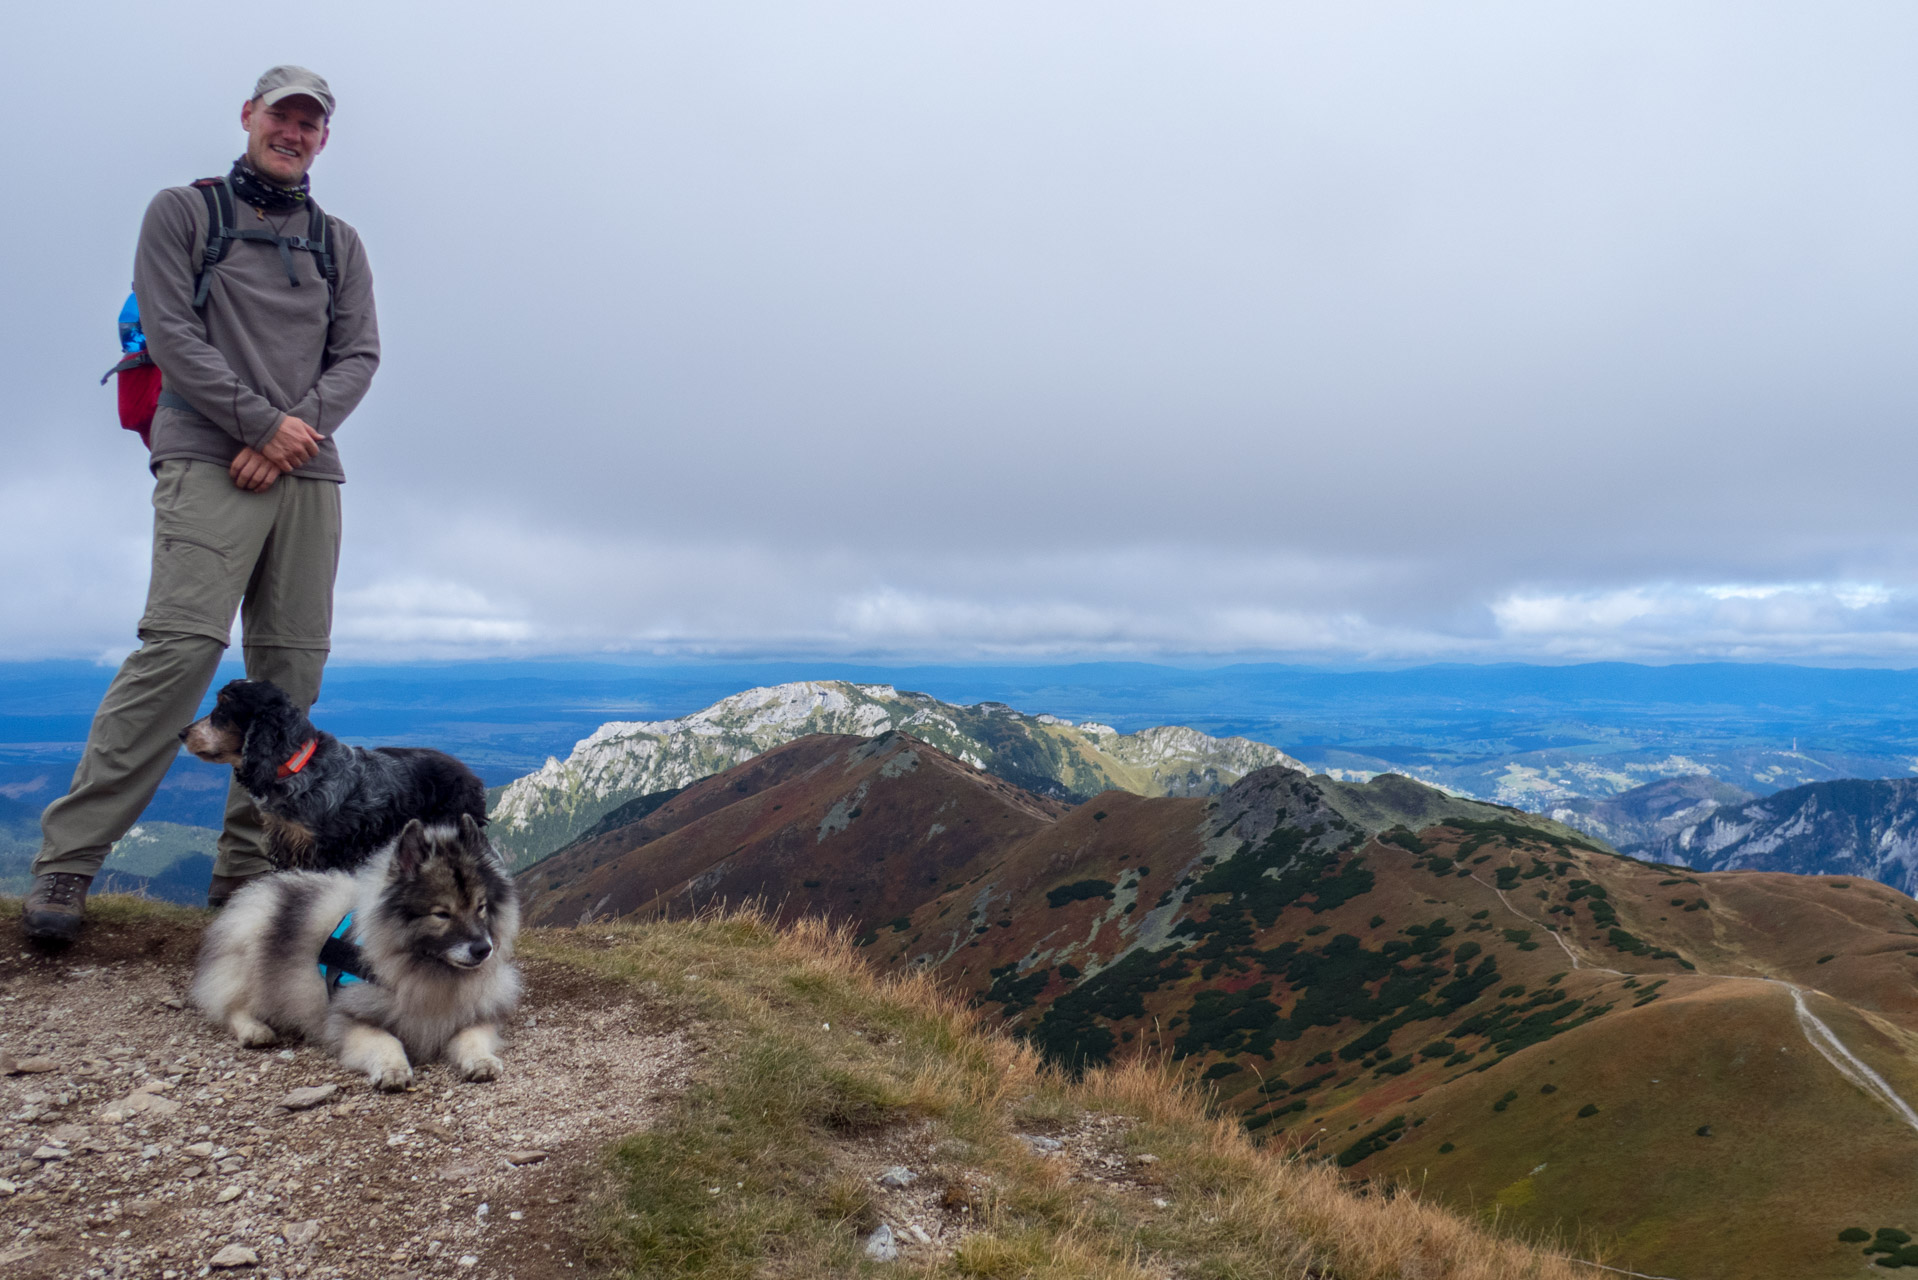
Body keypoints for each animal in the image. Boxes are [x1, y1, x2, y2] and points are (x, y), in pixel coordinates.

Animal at [181, 675, 487, 875]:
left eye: (223, 707)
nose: (182, 733)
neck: (299, 768)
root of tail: (470, 775)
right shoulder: (287, 841)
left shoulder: (327, 850)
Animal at [191, 817, 521, 1090]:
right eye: (441, 914)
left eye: (481, 907)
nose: (483, 949)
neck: (427, 970)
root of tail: (265, 888)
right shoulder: (349, 1018)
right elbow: (385, 1039)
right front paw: (392, 1069)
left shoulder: (475, 1015)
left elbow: (473, 1038)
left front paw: (481, 1061)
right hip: (247, 954)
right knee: (230, 1005)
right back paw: (255, 1030)